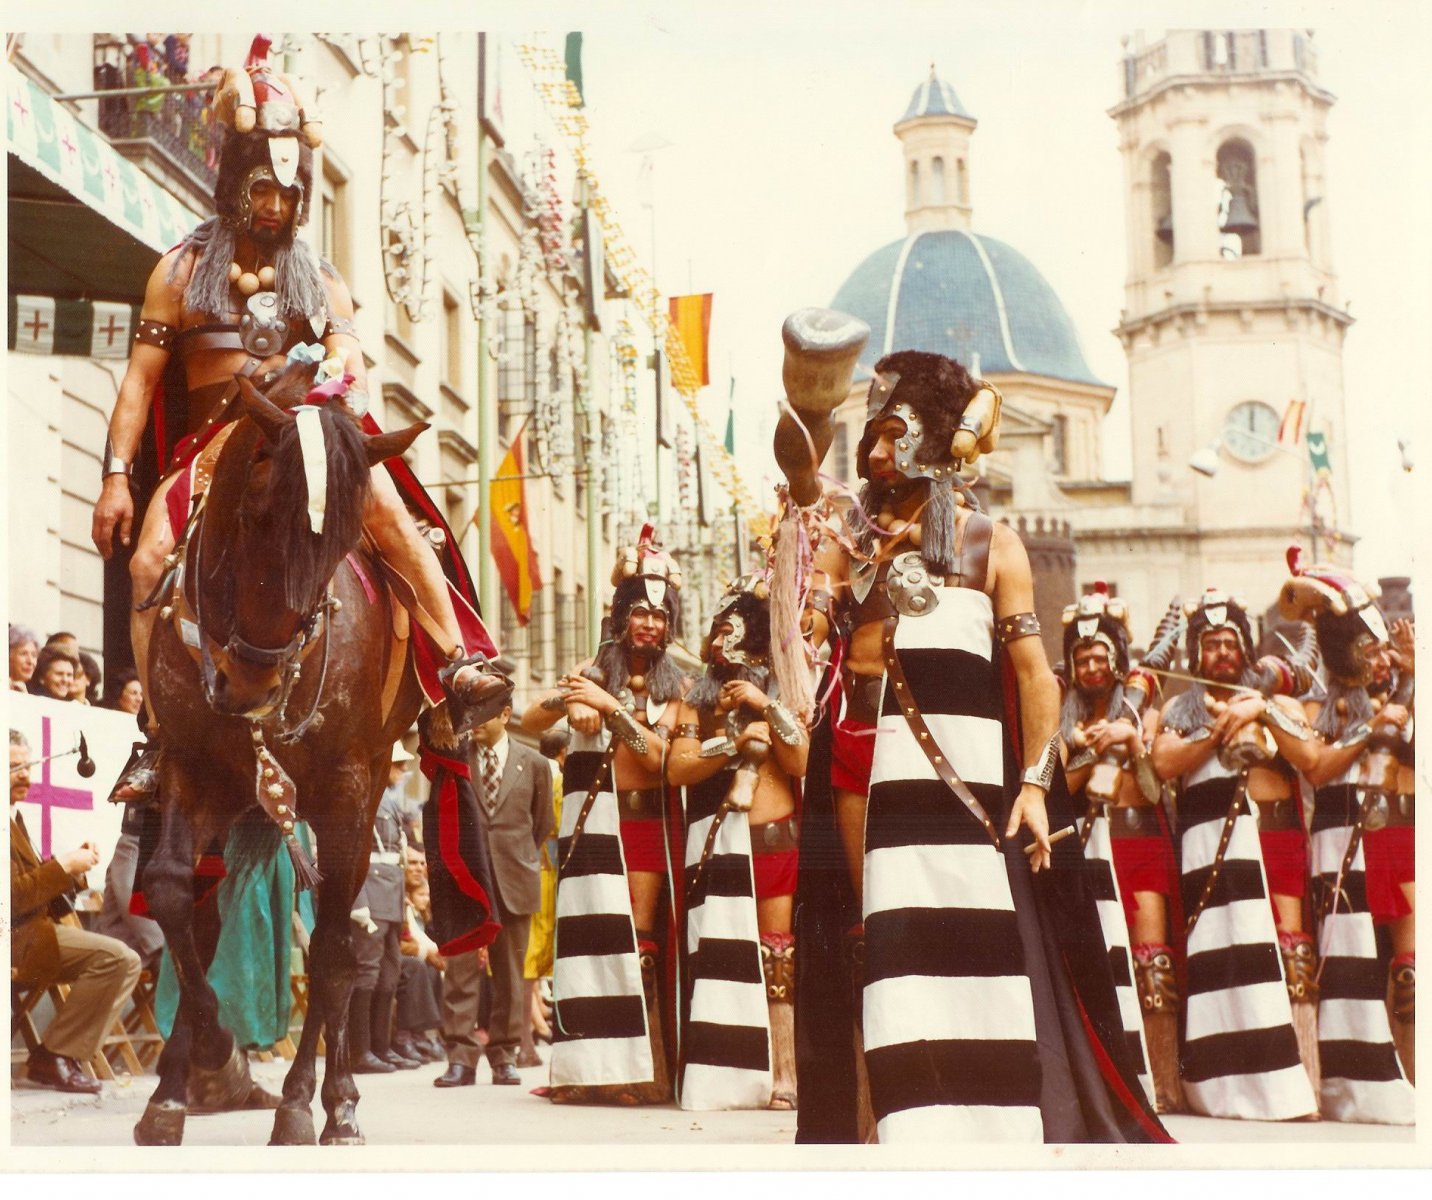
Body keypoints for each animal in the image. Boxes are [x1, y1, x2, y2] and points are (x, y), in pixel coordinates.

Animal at [133, 362, 427, 1146]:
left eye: (347, 538)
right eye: (255, 515)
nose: (250, 684)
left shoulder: (348, 792)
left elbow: (330, 950)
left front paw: (312, 1103)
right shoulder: (194, 770)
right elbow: (170, 893)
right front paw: (208, 1053)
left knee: (334, 946)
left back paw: (323, 1100)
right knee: (210, 919)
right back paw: (179, 1087)